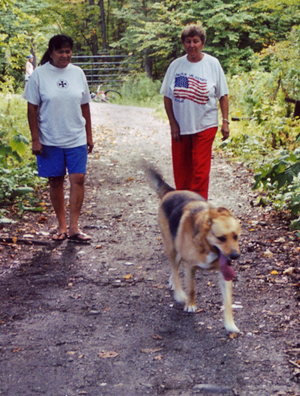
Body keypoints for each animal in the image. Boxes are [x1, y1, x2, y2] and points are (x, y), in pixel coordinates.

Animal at [148, 169, 241, 332]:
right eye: (221, 238)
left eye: (235, 236)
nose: (235, 256)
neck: (206, 245)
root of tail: (171, 192)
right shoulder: (190, 267)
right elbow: (191, 288)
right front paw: (190, 304)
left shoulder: (224, 274)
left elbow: (228, 302)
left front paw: (230, 324)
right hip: (171, 247)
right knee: (174, 268)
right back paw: (178, 292)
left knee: (175, 267)